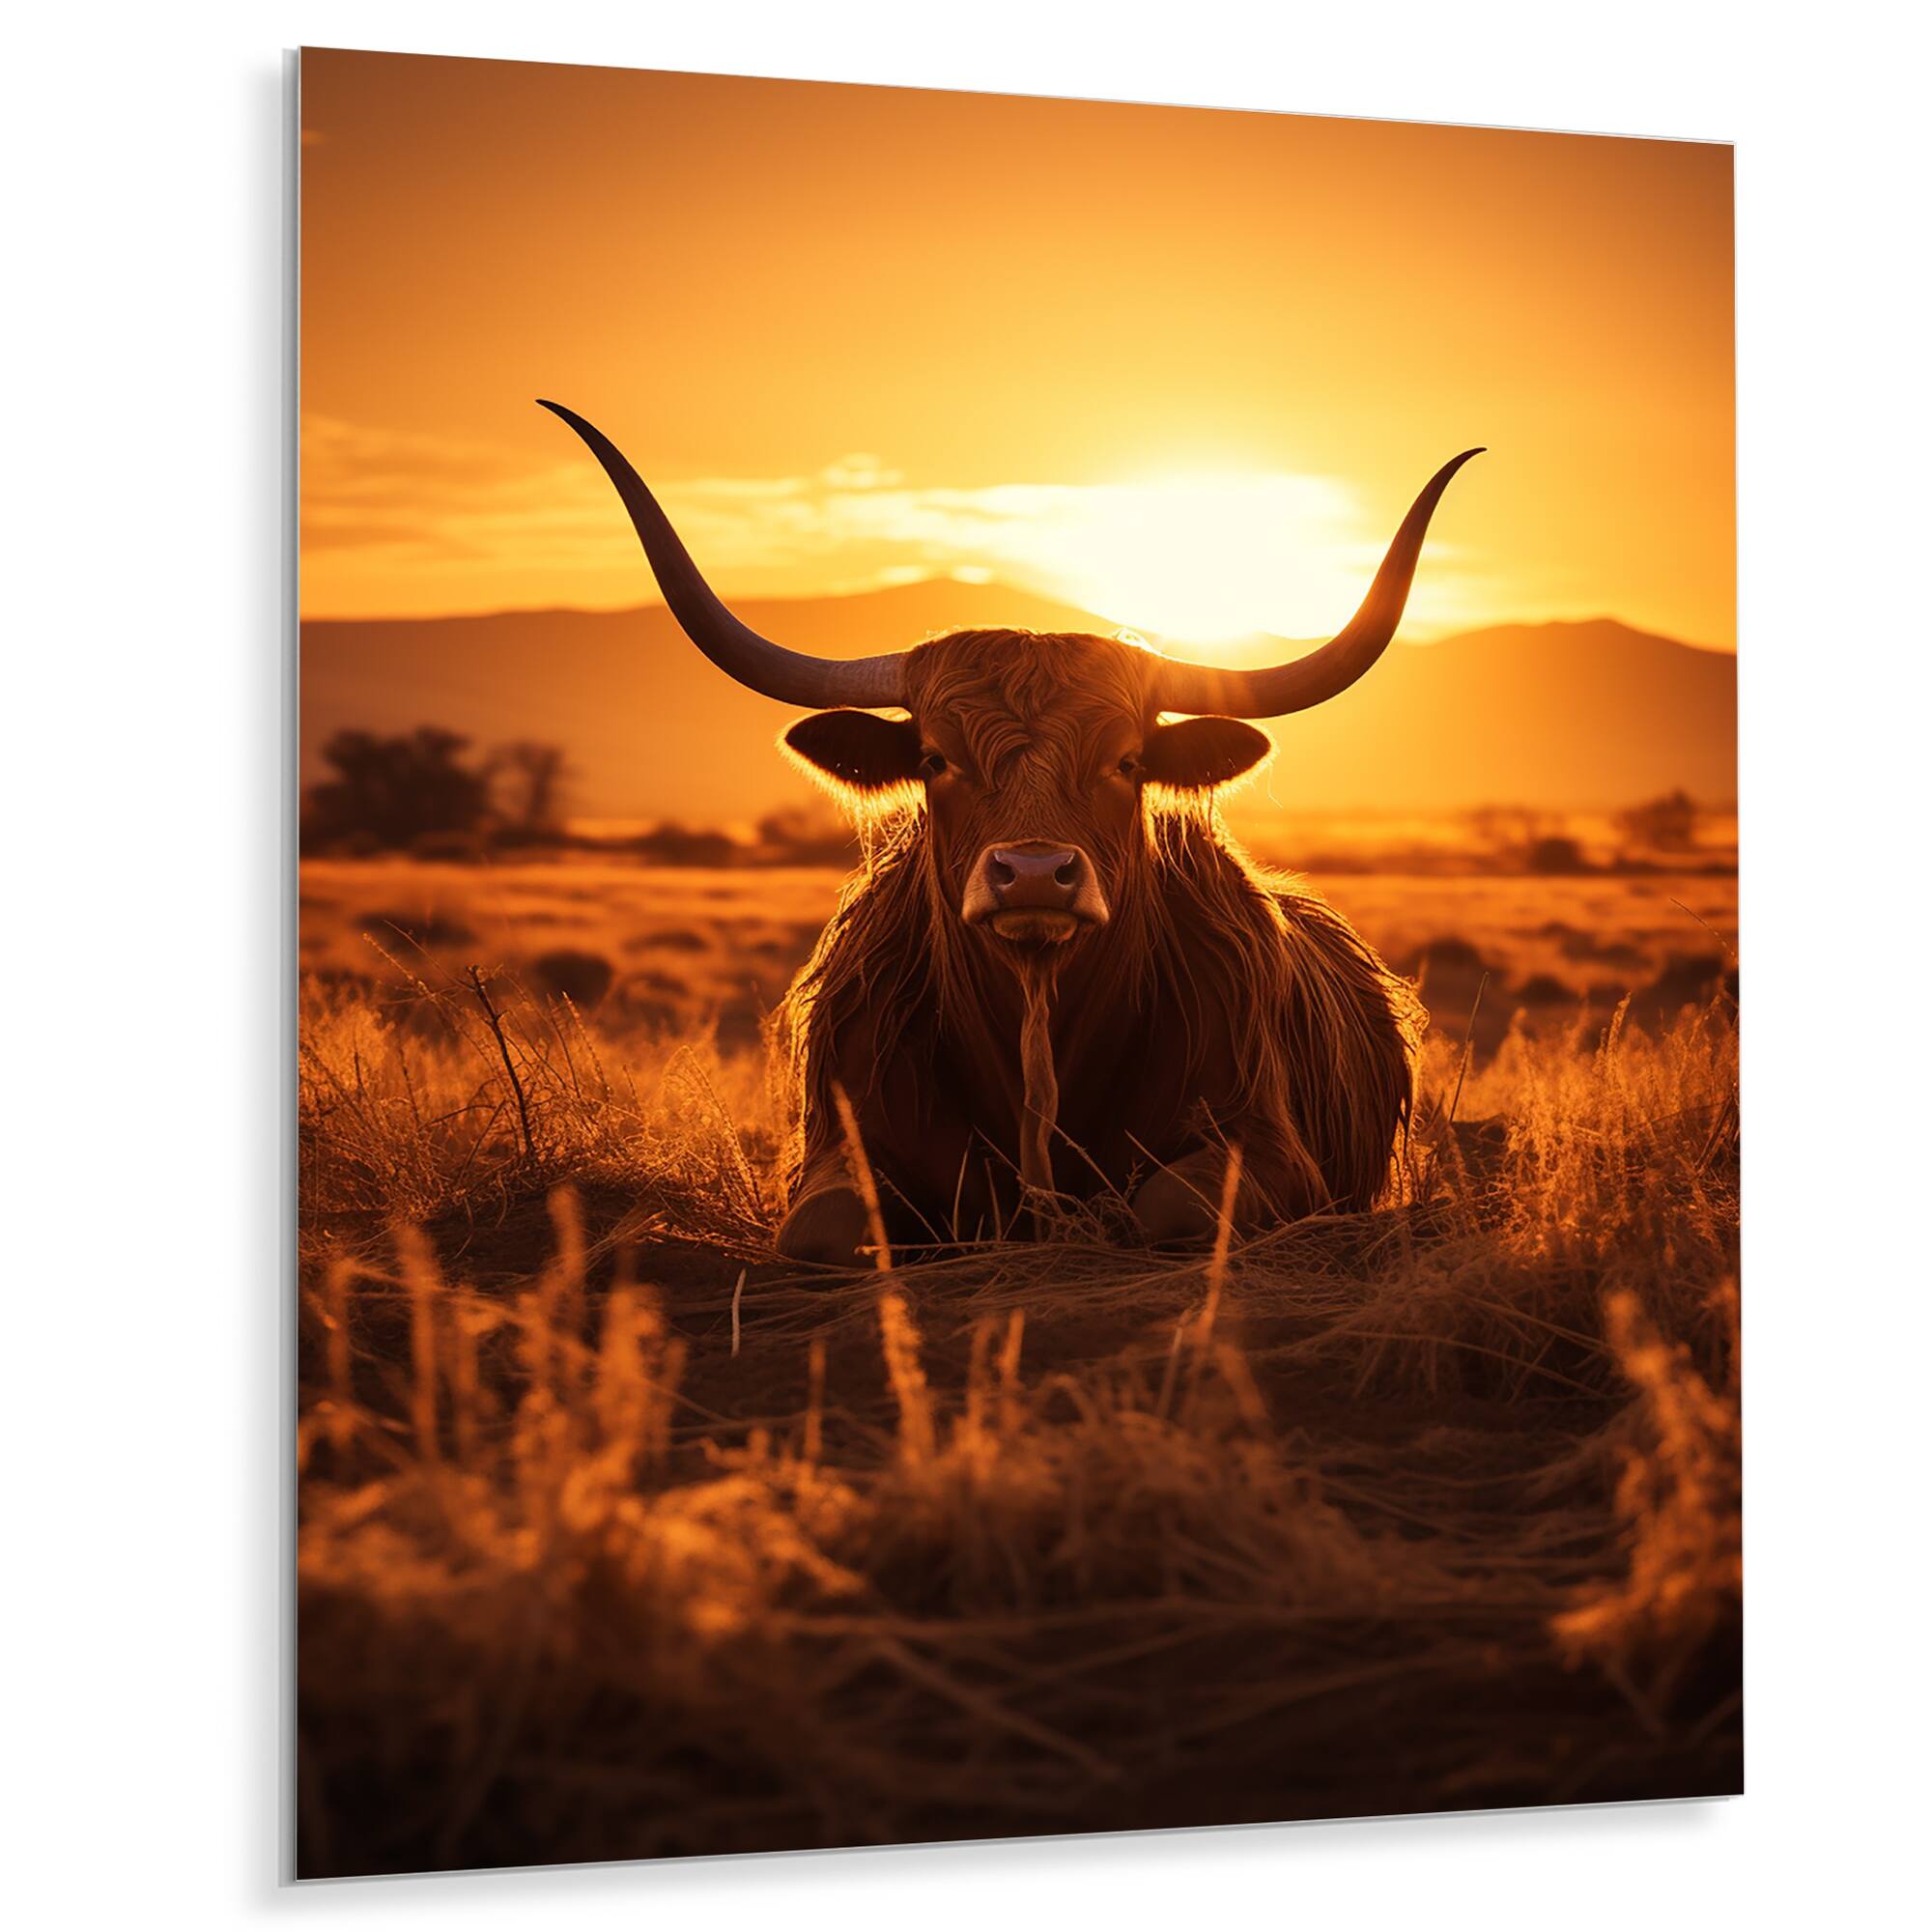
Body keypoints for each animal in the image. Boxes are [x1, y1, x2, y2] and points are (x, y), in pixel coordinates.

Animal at [540, 401, 1480, 1266]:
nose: (1033, 875)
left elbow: (1169, 1208)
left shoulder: (1270, 1149)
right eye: (935, 757)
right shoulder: (843, 1146)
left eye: (1126, 761)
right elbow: (826, 1230)